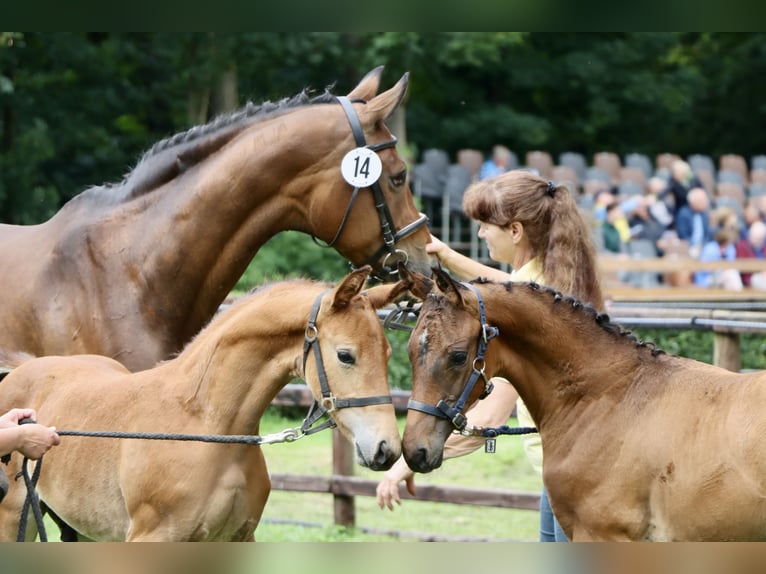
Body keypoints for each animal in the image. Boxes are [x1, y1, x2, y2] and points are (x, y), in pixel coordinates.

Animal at [0, 268, 408, 544]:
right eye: (346, 355)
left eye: (388, 354)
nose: (386, 450)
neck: (207, 426)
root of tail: (21, 369)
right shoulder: (150, 538)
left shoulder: (238, 537)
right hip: (13, 518)